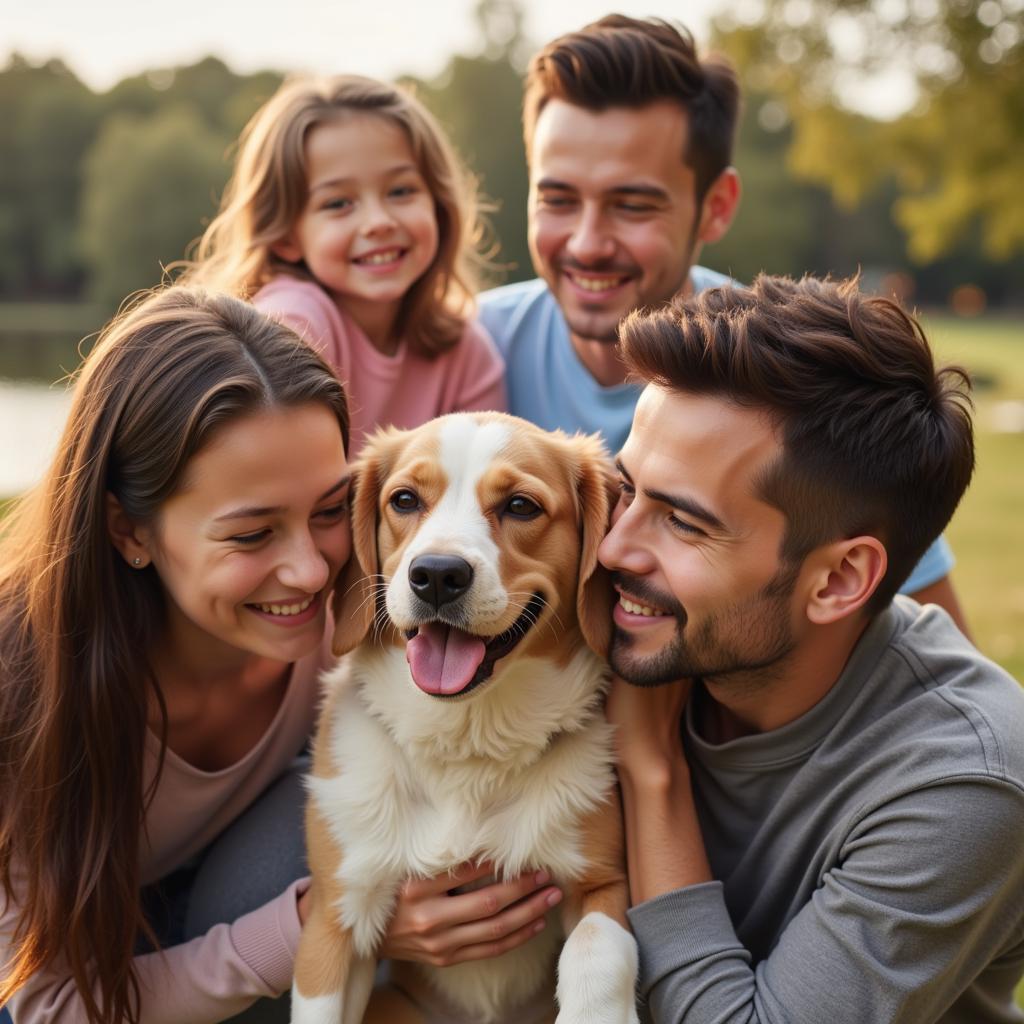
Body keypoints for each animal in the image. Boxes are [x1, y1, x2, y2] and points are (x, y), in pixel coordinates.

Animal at [292, 411, 634, 1024]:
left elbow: (595, 954)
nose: (436, 574)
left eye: (520, 506)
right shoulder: (335, 919)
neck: (467, 742)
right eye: (404, 499)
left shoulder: (603, 885)